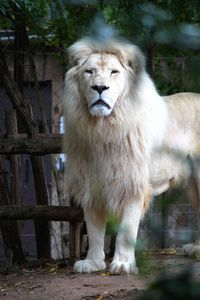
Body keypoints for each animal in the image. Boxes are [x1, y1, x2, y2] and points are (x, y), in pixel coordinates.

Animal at [63, 37, 200, 274]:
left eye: (114, 72)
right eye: (89, 72)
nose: (99, 87)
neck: (102, 130)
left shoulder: (133, 184)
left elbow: (126, 229)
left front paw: (123, 264)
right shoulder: (91, 182)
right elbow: (94, 228)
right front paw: (92, 262)